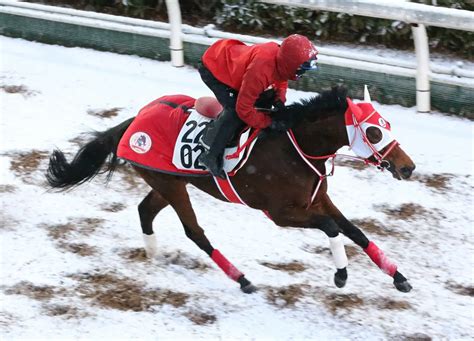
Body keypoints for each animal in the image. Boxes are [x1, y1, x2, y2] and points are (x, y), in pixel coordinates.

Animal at [45, 84, 414, 292]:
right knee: (194, 232)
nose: (407, 167)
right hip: (171, 186)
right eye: (374, 132)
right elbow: (332, 228)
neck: (294, 145)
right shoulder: (281, 213)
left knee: (145, 210)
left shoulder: (318, 199)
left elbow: (355, 231)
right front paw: (341, 274)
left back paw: (152, 253)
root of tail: (134, 120)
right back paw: (242, 279)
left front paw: (398, 276)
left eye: (386, 125)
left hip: (169, 182)